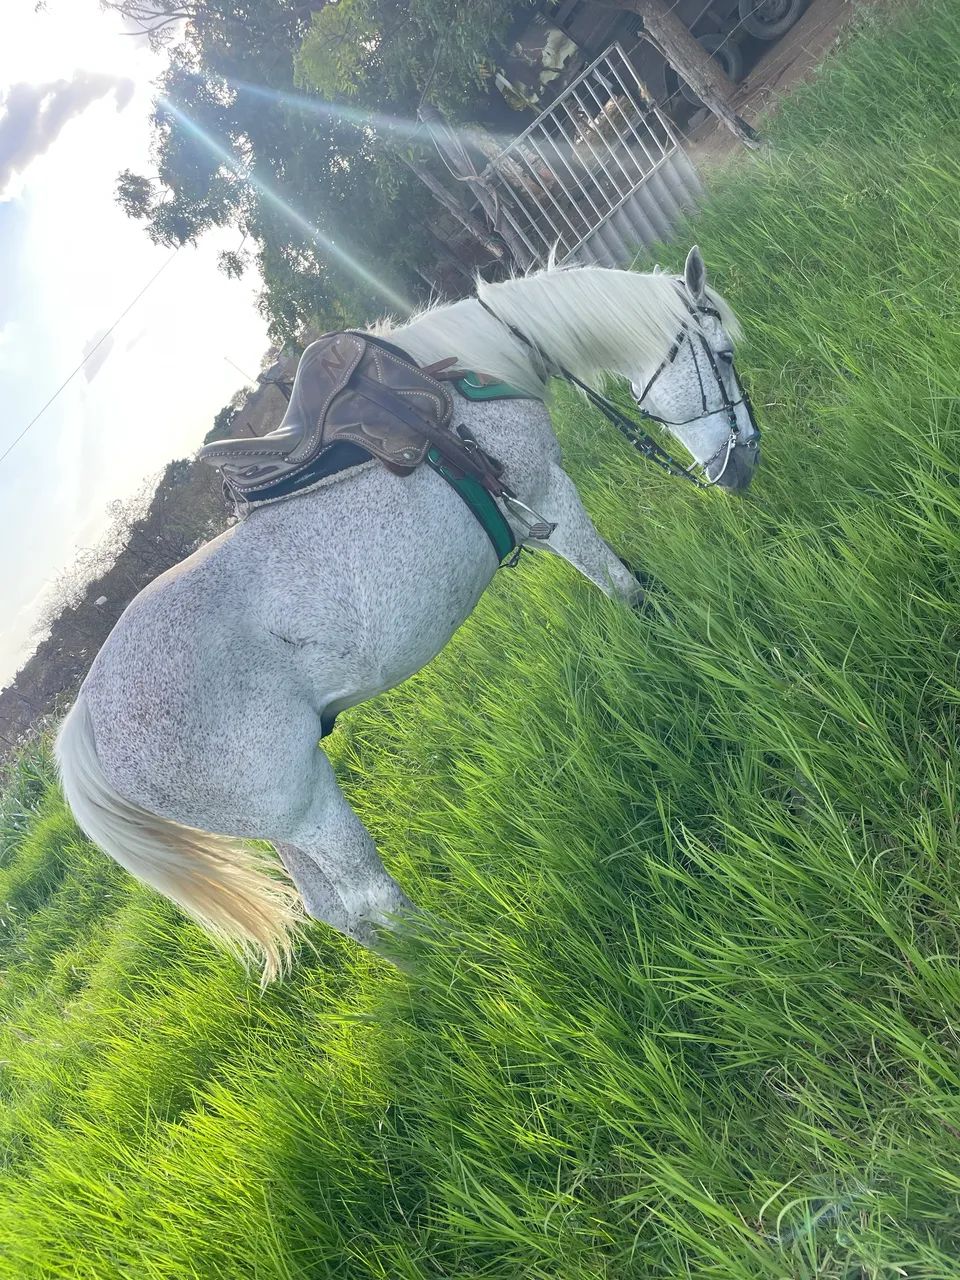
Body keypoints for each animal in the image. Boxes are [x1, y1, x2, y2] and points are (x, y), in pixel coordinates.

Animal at [55, 248, 759, 982]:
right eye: (724, 354)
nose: (743, 468)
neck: (478, 371)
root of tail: (86, 723)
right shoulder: (549, 494)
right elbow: (622, 586)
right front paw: (675, 638)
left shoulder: (536, 518)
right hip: (309, 810)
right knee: (371, 897)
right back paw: (463, 965)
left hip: (287, 818)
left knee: (334, 911)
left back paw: (422, 973)